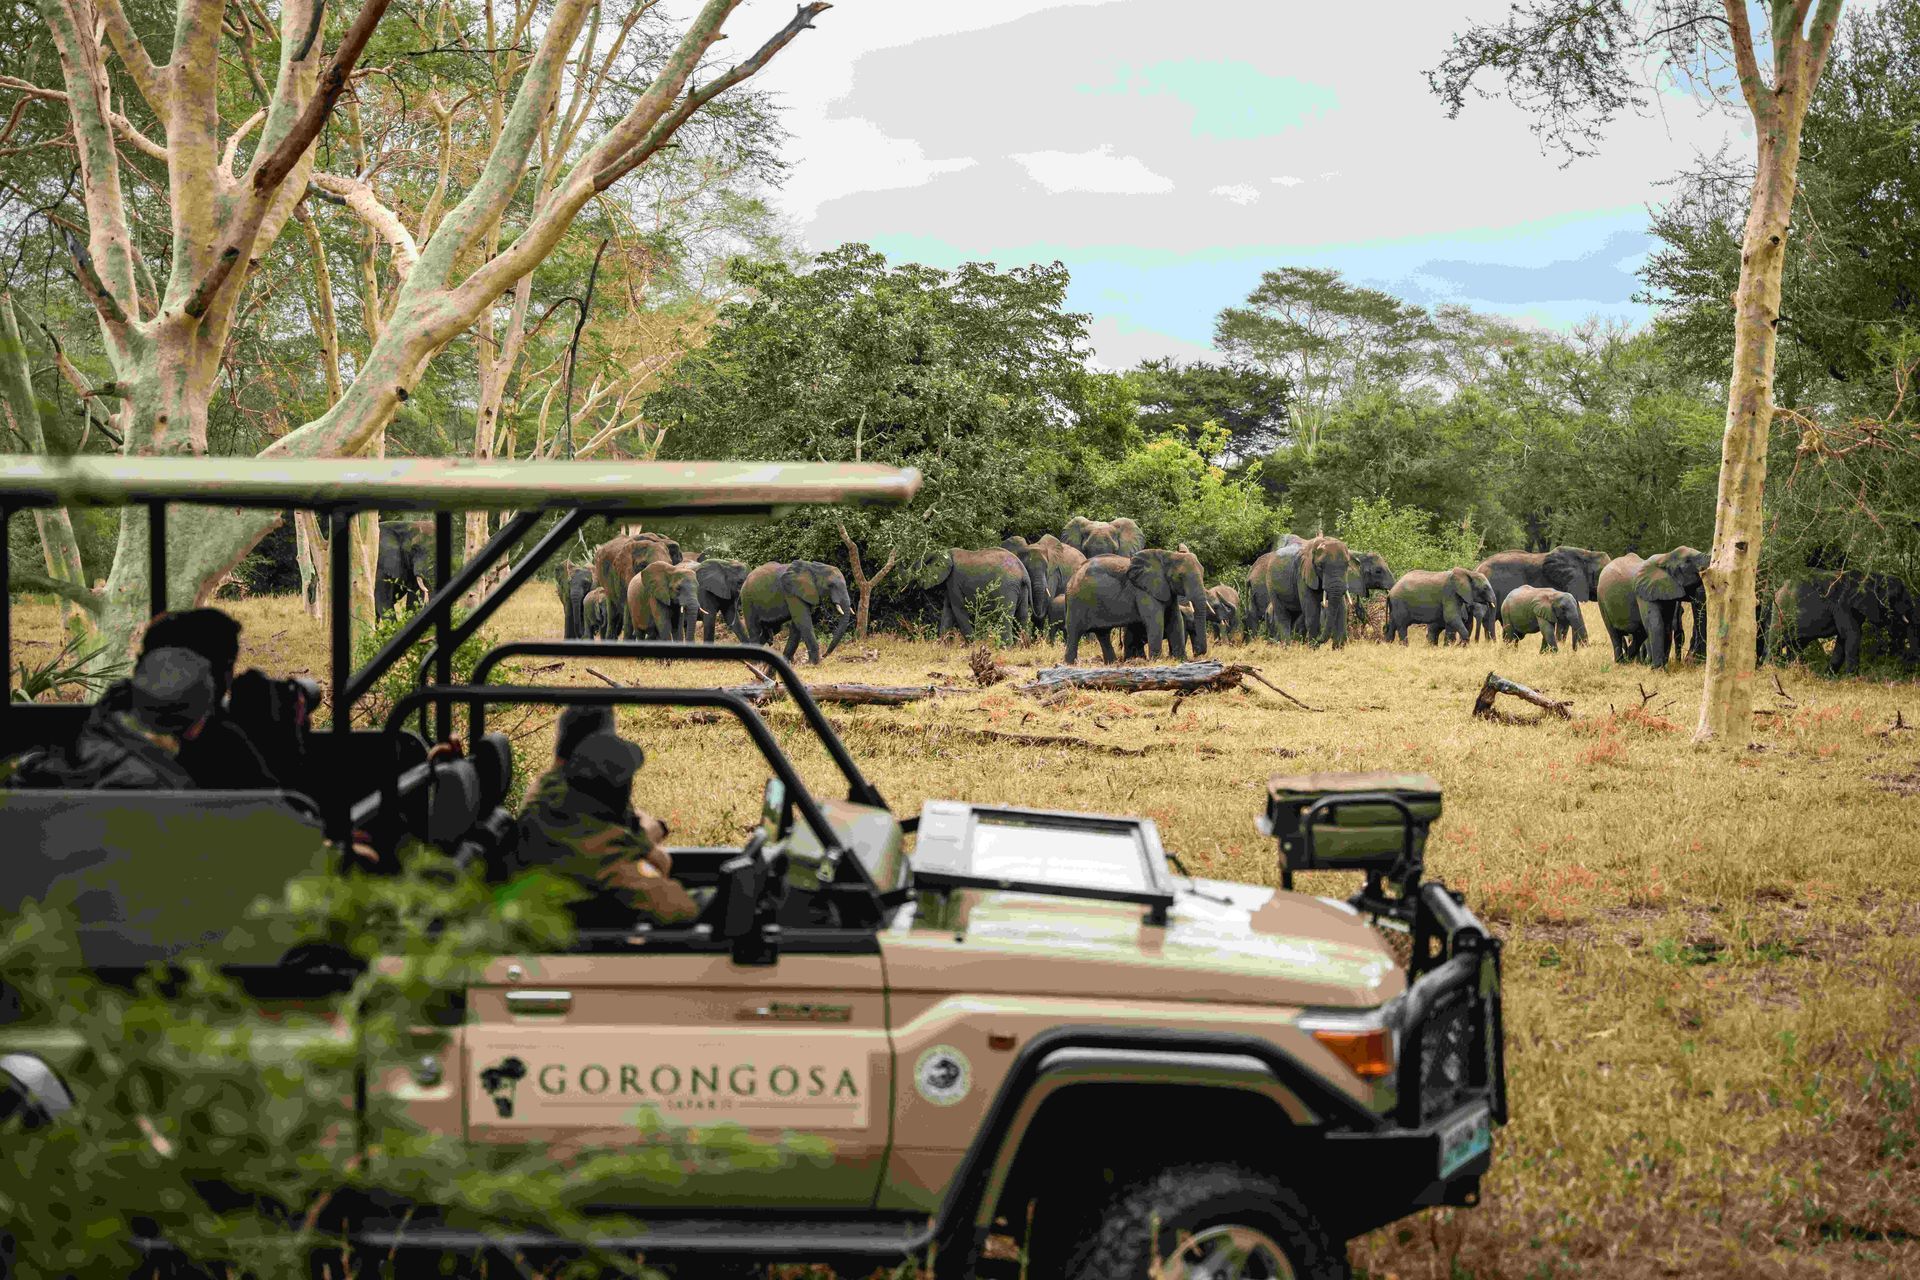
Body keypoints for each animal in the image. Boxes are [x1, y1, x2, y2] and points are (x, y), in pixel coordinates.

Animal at [1062, 548, 1210, 664]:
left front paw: (1182, 660)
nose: (1199, 652)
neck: (1167, 555)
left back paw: (1112, 663)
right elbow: (1155, 621)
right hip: (1077, 601)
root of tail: (1073, 576)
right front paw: (1156, 661)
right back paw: (1070, 664)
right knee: (1074, 632)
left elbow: (1175, 620)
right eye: (1180, 576)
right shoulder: (1143, 591)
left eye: (1203, 572)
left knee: (1103, 633)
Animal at [1771, 572, 1919, 673]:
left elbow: (1843, 639)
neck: (1870, 577)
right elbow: (1852, 635)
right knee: (1776, 640)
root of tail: (1779, 590)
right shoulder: (1842, 605)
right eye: (1896, 596)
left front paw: (1829, 676)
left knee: (1796, 644)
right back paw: (1769, 667)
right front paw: (1853, 678)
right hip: (1781, 613)